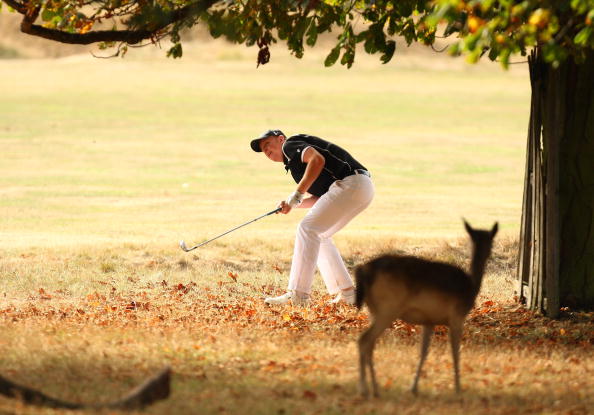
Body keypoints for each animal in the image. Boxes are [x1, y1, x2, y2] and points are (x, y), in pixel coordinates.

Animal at [354, 221, 498, 400]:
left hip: (373, 310)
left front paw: (414, 388)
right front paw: (458, 389)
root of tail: (363, 271)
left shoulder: (429, 321)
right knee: (364, 340)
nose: (490, 253)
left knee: (370, 344)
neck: (472, 287)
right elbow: (455, 352)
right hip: (387, 308)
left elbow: (423, 352)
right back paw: (364, 389)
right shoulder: (457, 316)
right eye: (492, 241)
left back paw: (375, 389)